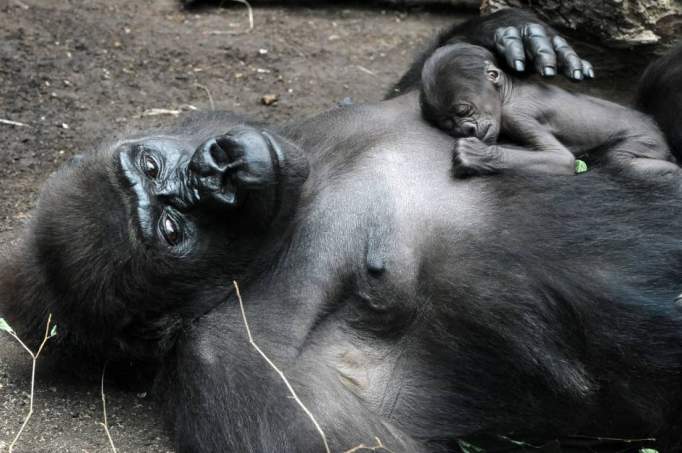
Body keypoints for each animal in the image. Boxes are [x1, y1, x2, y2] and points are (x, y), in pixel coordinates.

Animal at [420, 42, 676, 177]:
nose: (466, 129)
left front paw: (477, 156)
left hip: (647, 140)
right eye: (449, 125)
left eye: (463, 111)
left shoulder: (516, 115)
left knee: (619, 161)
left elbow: (560, 159)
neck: (508, 92)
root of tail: (656, 127)